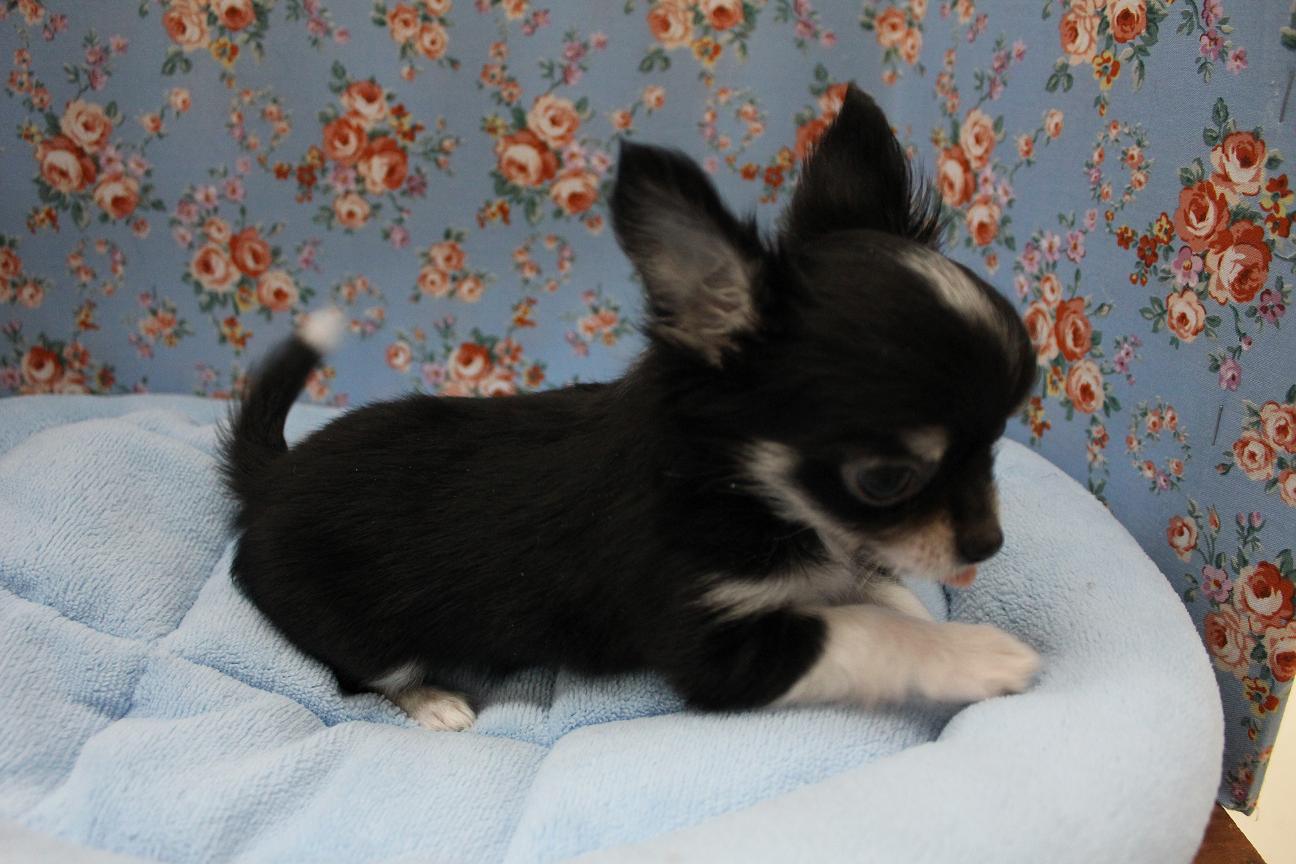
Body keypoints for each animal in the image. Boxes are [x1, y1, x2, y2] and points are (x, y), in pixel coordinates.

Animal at [221, 84, 1040, 732]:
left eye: (997, 442)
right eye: (885, 480)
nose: (990, 543)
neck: (743, 487)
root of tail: (273, 478)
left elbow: (882, 595)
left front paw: (932, 618)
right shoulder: (715, 646)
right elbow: (865, 632)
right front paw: (976, 654)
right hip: (358, 627)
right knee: (363, 674)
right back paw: (435, 700)